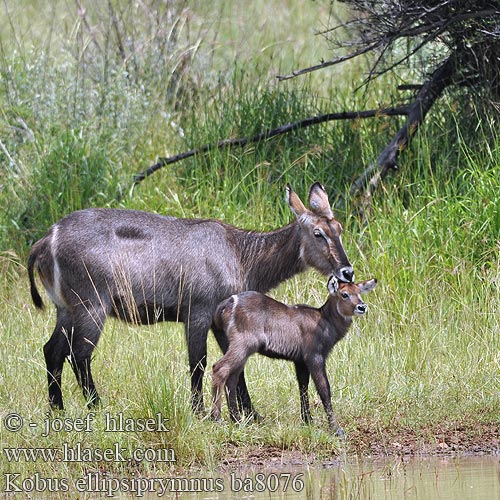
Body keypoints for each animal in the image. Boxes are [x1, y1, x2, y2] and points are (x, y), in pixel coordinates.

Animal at [28, 184, 356, 414]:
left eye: (339, 228)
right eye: (318, 233)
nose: (347, 271)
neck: (240, 253)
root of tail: (46, 239)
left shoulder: (223, 323)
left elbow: (237, 367)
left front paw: (252, 415)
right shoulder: (198, 313)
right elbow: (198, 362)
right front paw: (199, 412)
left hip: (66, 309)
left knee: (52, 351)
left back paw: (57, 410)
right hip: (92, 307)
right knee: (79, 355)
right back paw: (96, 407)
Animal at [210, 276, 376, 436]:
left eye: (359, 292)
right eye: (344, 294)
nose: (362, 307)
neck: (325, 321)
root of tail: (226, 305)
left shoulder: (300, 361)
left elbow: (303, 386)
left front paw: (308, 420)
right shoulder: (314, 356)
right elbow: (324, 390)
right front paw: (336, 429)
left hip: (238, 348)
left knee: (232, 377)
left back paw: (236, 420)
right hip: (243, 344)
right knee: (219, 368)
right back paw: (217, 418)